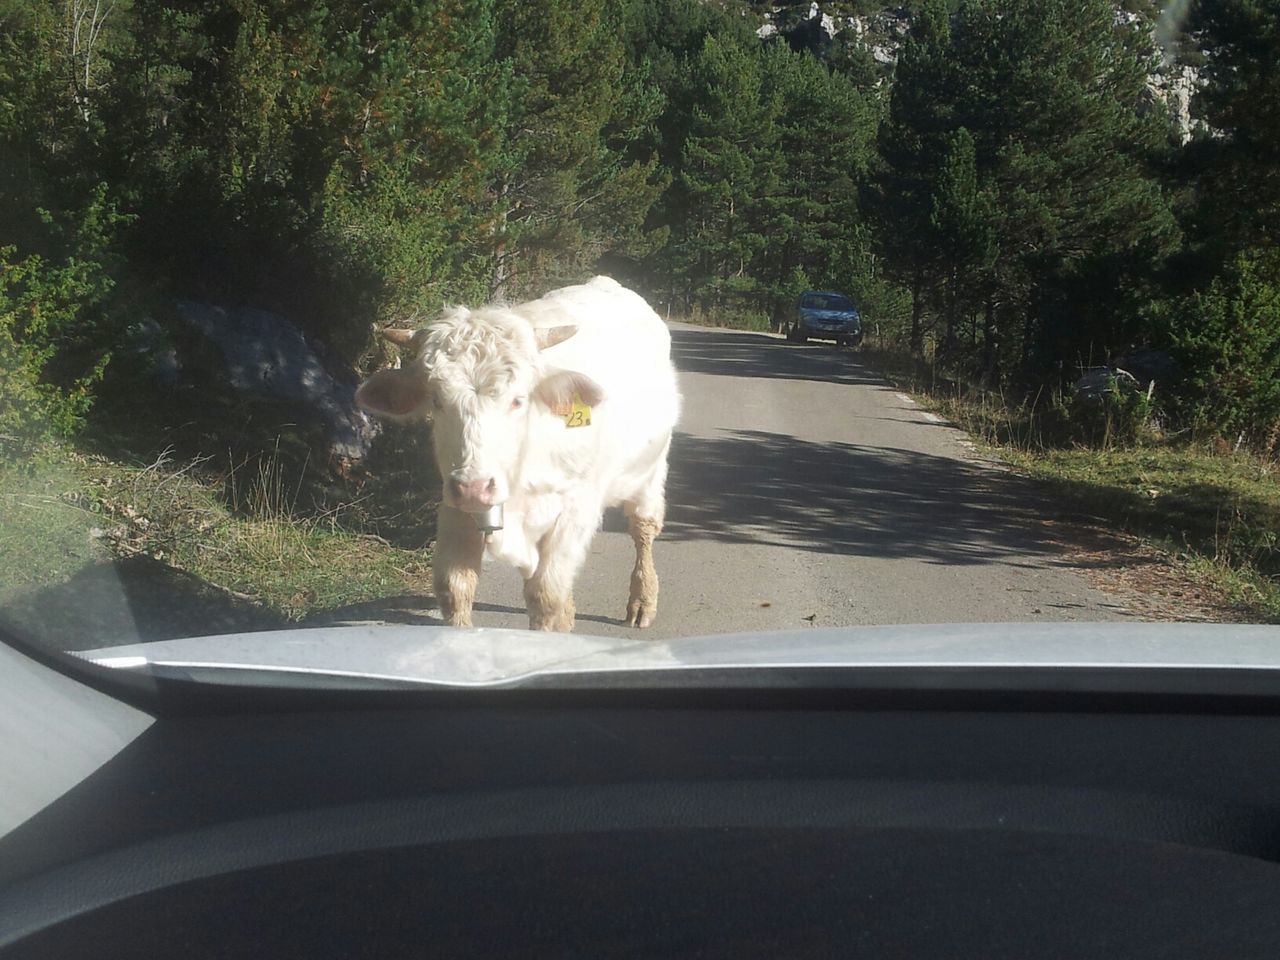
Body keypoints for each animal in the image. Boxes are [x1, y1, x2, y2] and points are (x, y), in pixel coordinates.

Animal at [358, 276, 680, 632]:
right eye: (437, 400)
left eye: (518, 399)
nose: (474, 486)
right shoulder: (455, 508)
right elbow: (455, 588)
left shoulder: (575, 510)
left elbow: (546, 594)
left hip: (651, 471)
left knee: (643, 530)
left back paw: (642, 601)